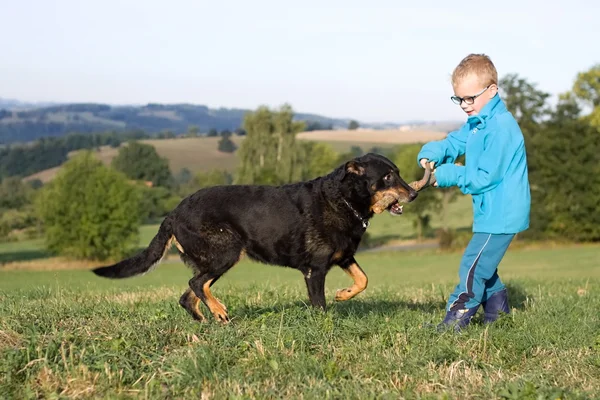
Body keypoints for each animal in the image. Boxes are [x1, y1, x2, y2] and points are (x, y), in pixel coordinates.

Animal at [91, 153, 432, 322]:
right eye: (387, 177)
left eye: (398, 172)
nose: (415, 193)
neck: (344, 199)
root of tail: (173, 213)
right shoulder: (315, 269)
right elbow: (320, 305)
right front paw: (325, 323)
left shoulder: (344, 256)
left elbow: (363, 280)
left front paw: (344, 294)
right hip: (225, 252)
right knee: (195, 284)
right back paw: (218, 311)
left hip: (212, 259)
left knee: (188, 294)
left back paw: (207, 321)